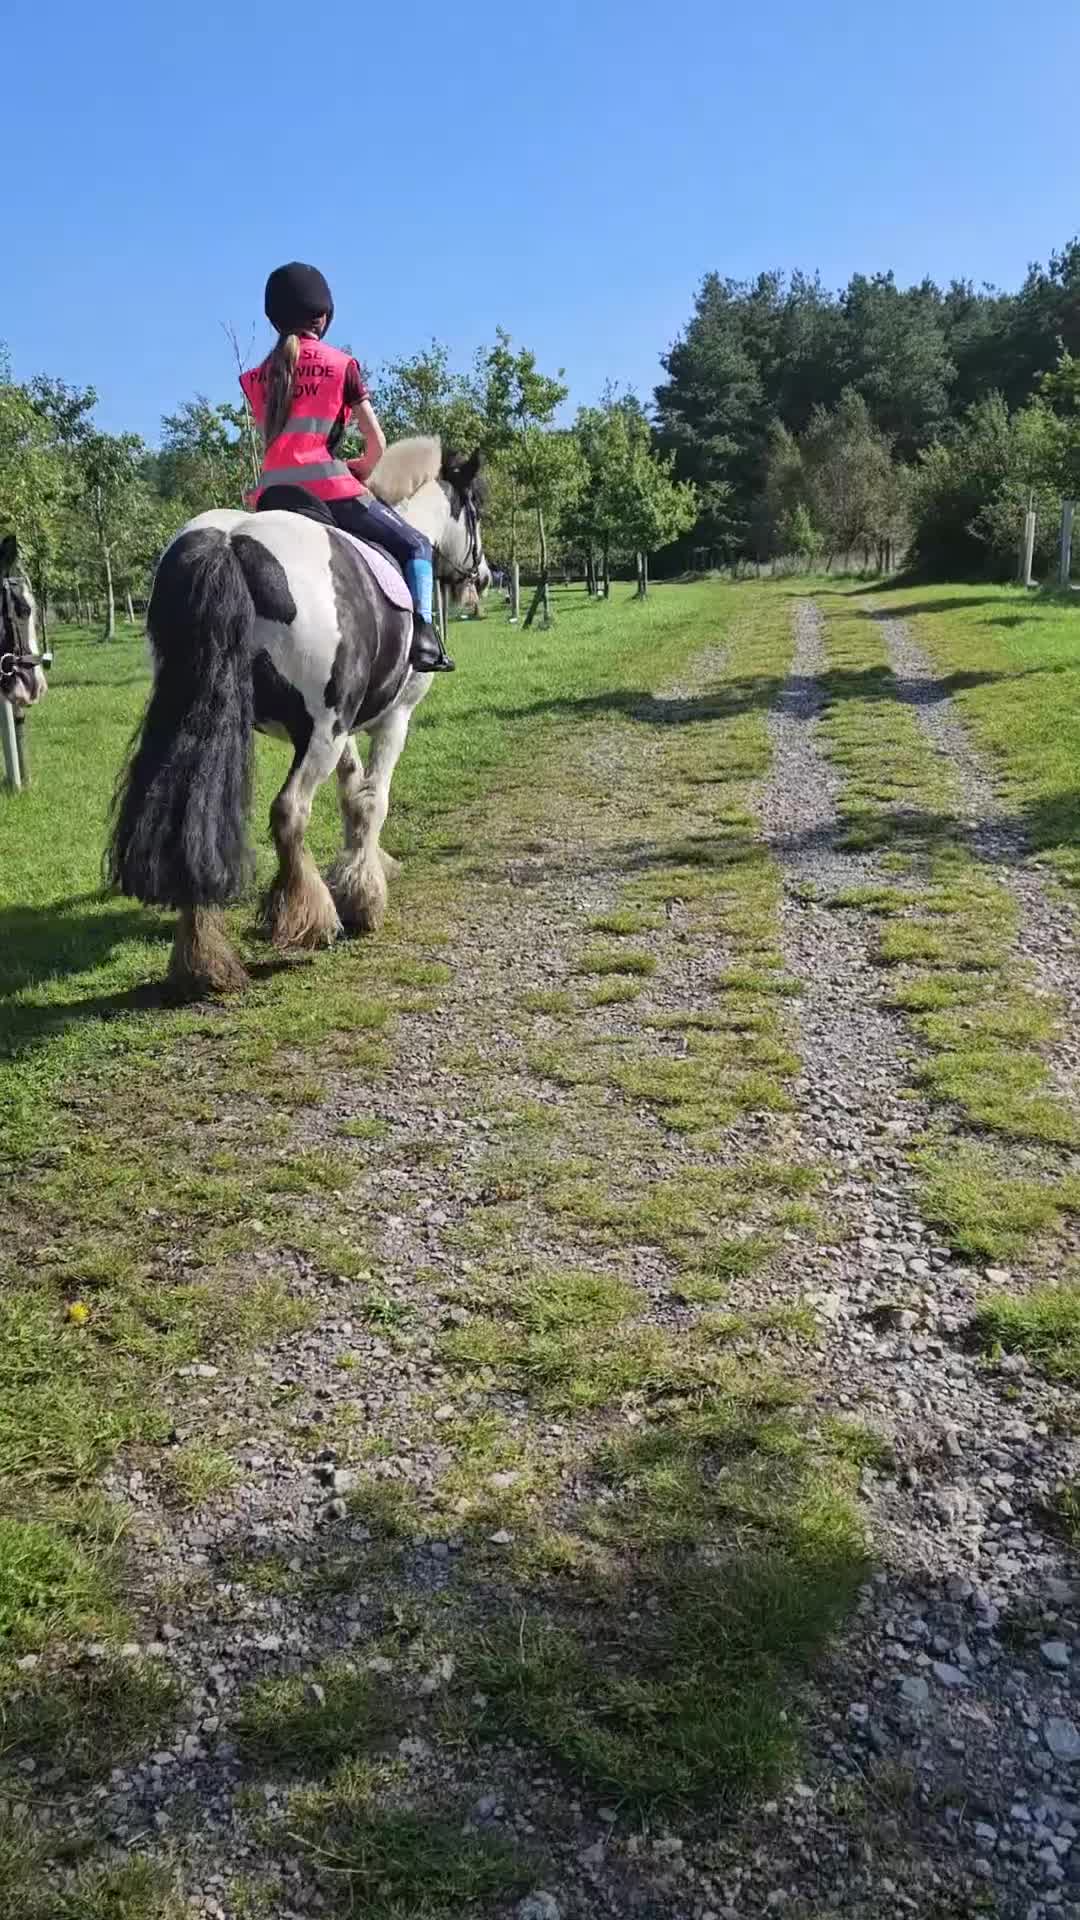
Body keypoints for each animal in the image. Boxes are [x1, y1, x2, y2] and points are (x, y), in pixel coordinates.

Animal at [107, 437, 489, 998]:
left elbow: (352, 795)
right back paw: (307, 919)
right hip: (320, 733)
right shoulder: (390, 718)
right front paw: (363, 898)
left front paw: (360, 871)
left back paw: (203, 959)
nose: (483, 576)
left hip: (202, 715)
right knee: (289, 811)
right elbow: (373, 798)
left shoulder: (343, 725)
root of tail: (229, 542)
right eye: (475, 509)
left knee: (192, 825)